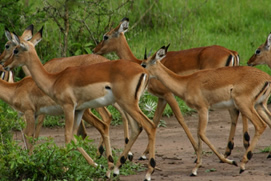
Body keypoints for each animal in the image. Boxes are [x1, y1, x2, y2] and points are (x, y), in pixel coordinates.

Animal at [3, 29, 157, 180]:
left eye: (15, 49)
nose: (5, 65)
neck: (55, 80)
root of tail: (144, 71)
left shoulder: (67, 107)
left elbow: (63, 135)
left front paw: (64, 169)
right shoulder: (78, 110)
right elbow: (73, 137)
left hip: (127, 104)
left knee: (148, 125)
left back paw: (147, 172)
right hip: (126, 105)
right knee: (136, 127)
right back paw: (116, 168)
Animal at [93, 17, 249, 159]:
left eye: (106, 36)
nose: (94, 50)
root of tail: (232, 52)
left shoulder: (168, 95)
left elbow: (179, 119)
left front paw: (196, 149)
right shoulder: (162, 98)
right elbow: (155, 121)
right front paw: (144, 154)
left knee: (236, 112)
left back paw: (230, 150)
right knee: (239, 111)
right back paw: (236, 148)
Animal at [141, 44, 271, 176]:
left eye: (143, 64)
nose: (140, 74)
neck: (186, 83)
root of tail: (266, 78)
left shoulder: (203, 108)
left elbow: (201, 134)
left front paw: (228, 161)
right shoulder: (199, 110)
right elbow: (198, 134)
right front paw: (196, 167)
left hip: (245, 105)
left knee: (260, 125)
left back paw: (242, 164)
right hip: (259, 105)